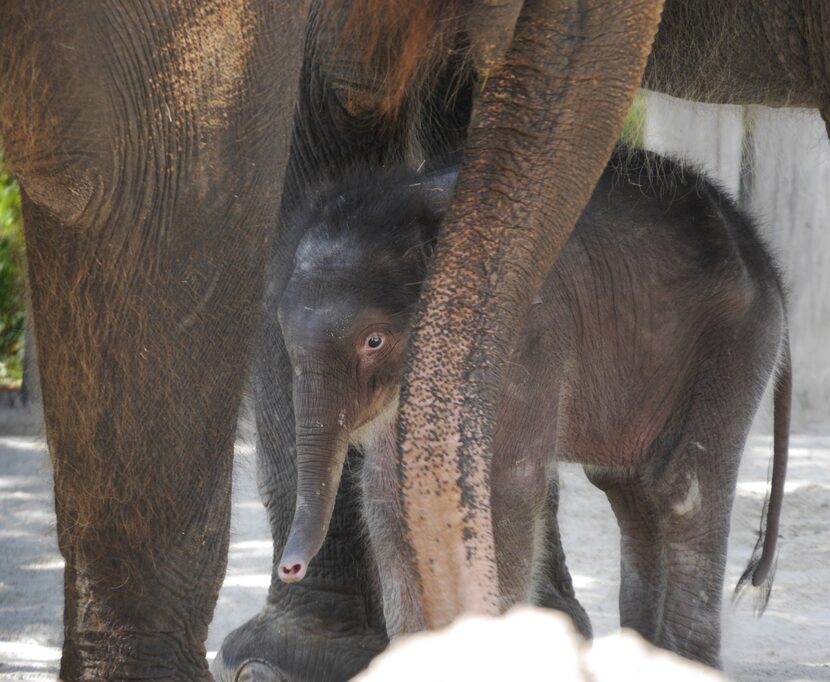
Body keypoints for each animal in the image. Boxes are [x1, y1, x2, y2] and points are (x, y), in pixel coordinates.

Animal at [276, 150, 788, 664]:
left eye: (374, 341)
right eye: (284, 339)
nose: (290, 567)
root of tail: (765, 254)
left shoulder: (529, 339)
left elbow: (506, 484)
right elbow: (386, 490)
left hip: (736, 344)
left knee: (683, 489)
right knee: (630, 490)